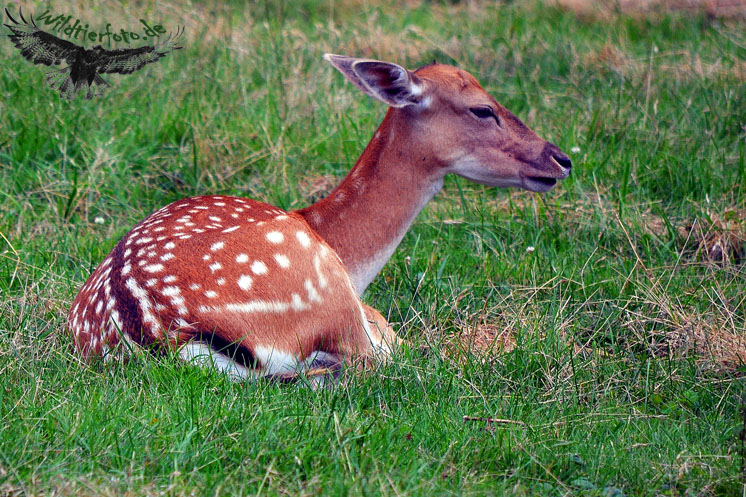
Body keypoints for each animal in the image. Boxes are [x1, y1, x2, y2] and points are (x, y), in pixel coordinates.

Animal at [66, 54, 571, 382]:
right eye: (482, 109)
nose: (561, 159)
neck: (341, 245)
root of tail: (157, 333)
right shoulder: (367, 318)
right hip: (326, 297)